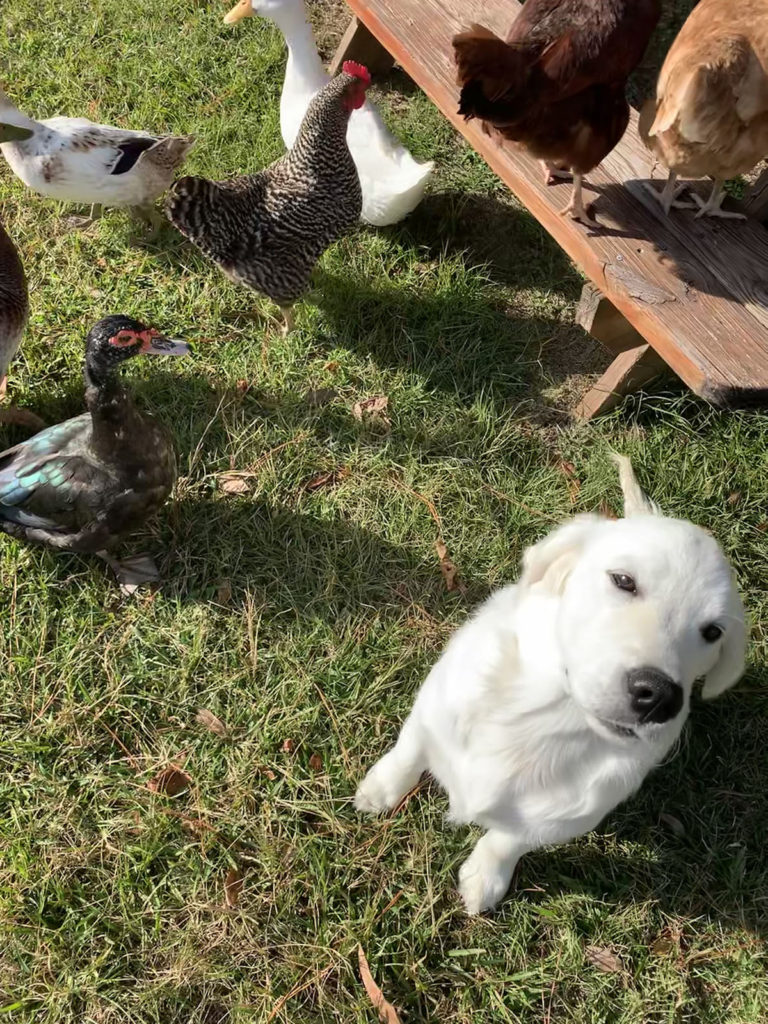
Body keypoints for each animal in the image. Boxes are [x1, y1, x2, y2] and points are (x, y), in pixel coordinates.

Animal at [358, 456, 749, 913]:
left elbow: (507, 841)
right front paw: (380, 789)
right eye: (623, 580)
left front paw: (485, 877)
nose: (659, 697)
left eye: (713, 632)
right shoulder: (434, 705)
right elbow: (408, 751)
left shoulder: (563, 817)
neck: (543, 716)